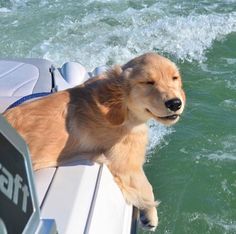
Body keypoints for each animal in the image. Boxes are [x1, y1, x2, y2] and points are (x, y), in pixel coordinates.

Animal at [2, 52, 185, 230]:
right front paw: (150, 214)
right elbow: (146, 187)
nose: (175, 103)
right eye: (148, 82)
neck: (120, 106)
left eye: (174, 78)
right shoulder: (126, 163)